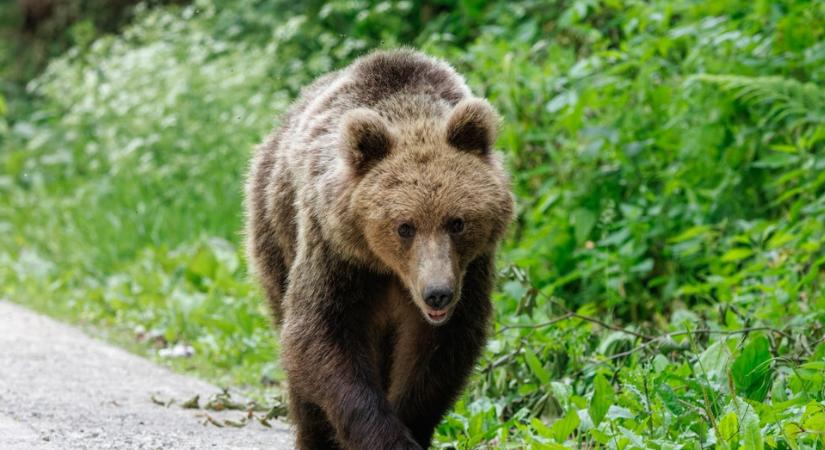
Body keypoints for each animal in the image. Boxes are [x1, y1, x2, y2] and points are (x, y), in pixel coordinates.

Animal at [245, 49, 512, 450]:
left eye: (457, 222)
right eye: (404, 226)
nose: (437, 293)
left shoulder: (470, 271)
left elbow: (438, 355)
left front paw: (411, 424)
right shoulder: (337, 255)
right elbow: (319, 334)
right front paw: (385, 437)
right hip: (275, 231)